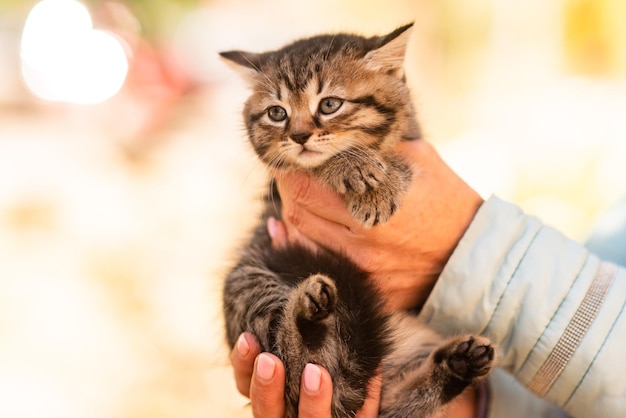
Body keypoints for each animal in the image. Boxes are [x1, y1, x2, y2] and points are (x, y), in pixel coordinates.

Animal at [219, 23, 492, 418]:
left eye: (330, 104)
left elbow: (398, 161)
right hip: (248, 286)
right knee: (303, 368)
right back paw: (308, 316)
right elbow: (313, 165)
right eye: (276, 113)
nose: (298, 136)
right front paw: (355, 170)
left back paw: (457, 366)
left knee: (390, 405)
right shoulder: (279, 184)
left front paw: (378, 181)